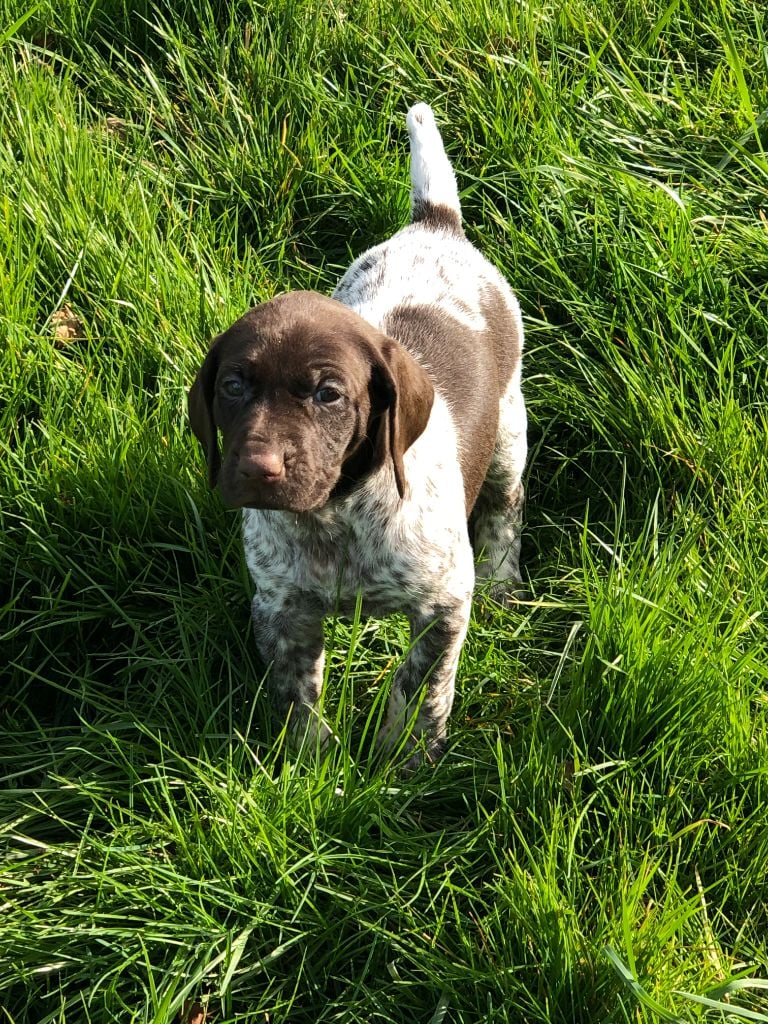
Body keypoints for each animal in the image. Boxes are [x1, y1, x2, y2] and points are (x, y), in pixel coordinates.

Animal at [191, 103, 528, 765]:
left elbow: (421, 683)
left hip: (509, 427)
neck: (335, 518)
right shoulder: (281, 610)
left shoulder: (444, 605)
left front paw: (408, 754)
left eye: (329, 395)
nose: (257, 468)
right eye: (233, 386)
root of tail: (435, 226)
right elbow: (296, 693)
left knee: (506, 499)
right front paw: (309, 762)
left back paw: (502, 575)